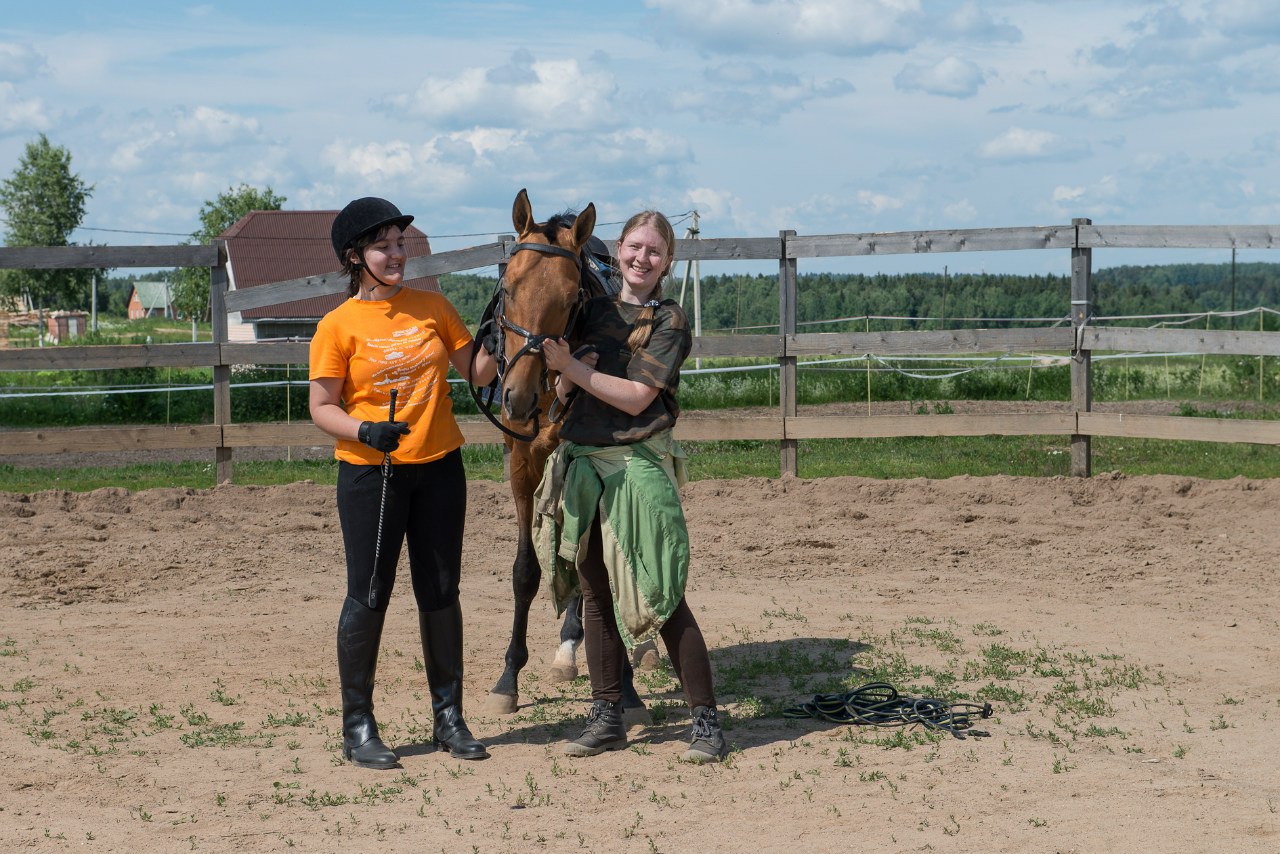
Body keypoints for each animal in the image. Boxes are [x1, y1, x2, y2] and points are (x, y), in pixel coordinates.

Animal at [475, 189, 650, 722]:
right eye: (507, 288)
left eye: (571, 300)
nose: (519, 397)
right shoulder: (521, 466)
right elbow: (527, 571)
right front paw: (508, 678)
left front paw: (626, 687)